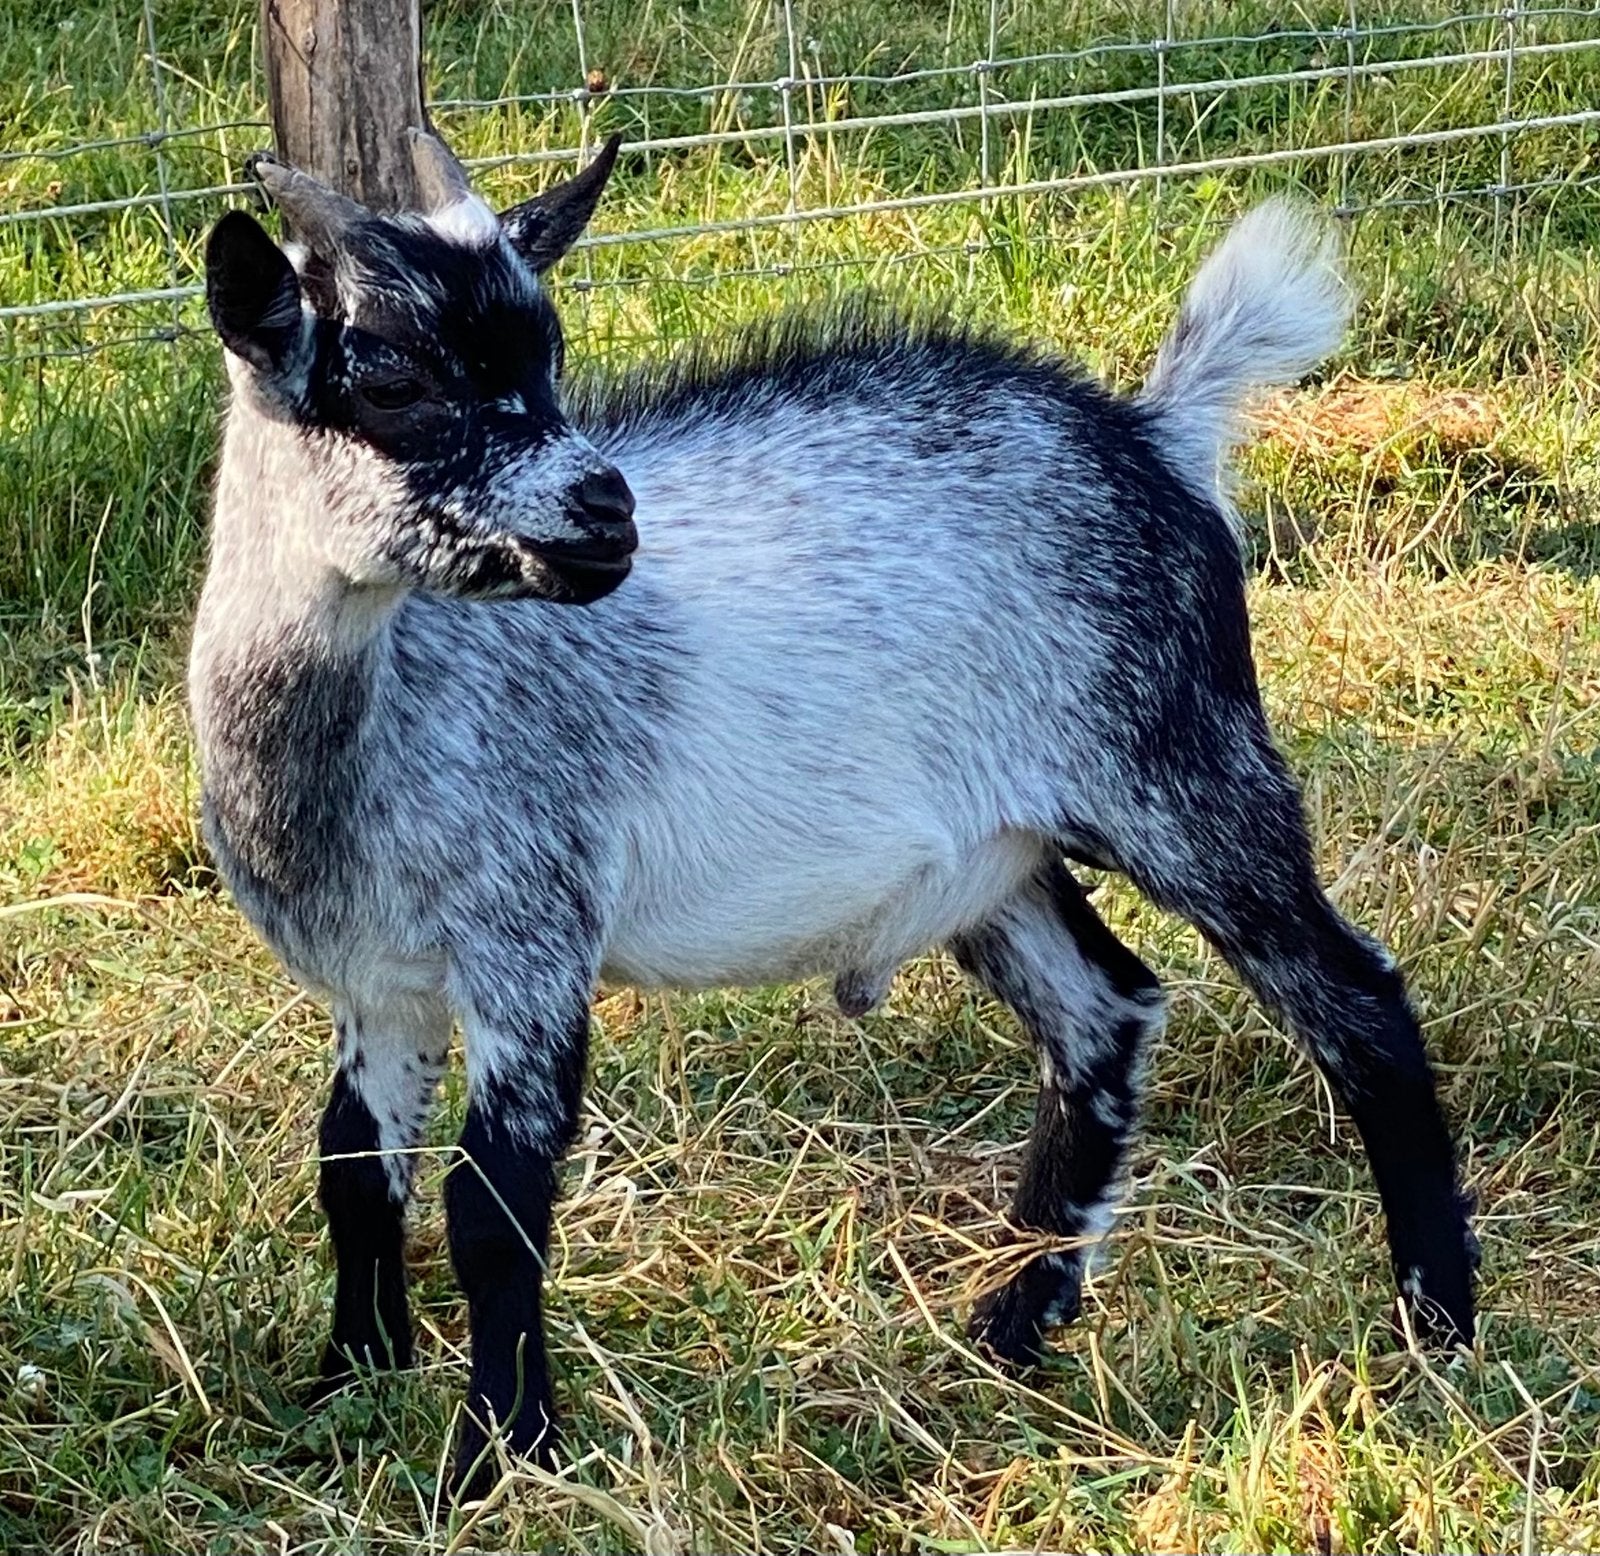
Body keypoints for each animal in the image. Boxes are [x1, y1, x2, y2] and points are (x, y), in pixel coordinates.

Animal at [190, 129, 1477, 1496]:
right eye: (389, 378)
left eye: (547, 356)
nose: (607, 511)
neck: (376, 721)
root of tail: (1151, 435)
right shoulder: (377, 981)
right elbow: (350, 1167)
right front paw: (349, 1381)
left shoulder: (528, 938)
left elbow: (494, 1209)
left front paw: (500, 1453)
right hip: (996, 855)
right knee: (1105, 1010)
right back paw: (1014, 1321)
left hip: (1180, 764)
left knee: (1353, 999)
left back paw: (1435, 1317)